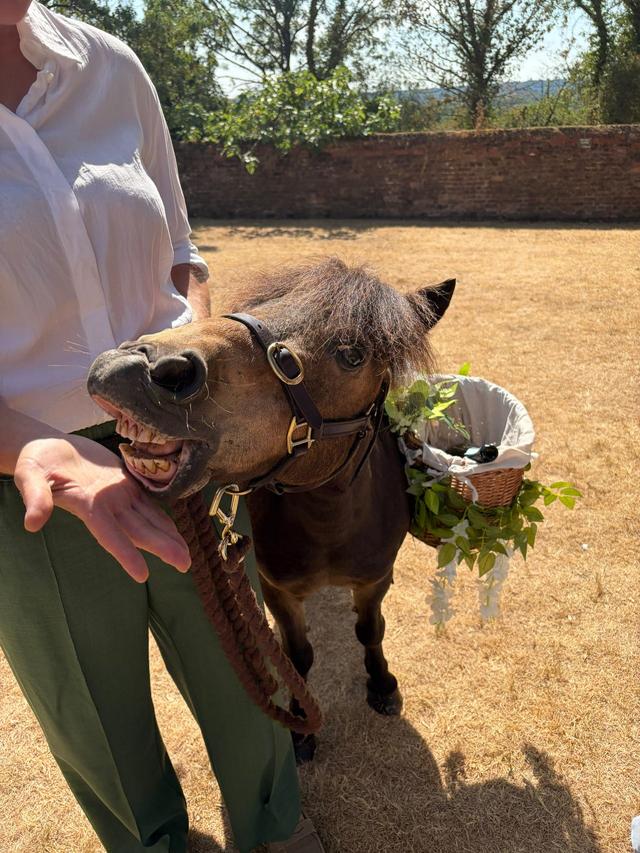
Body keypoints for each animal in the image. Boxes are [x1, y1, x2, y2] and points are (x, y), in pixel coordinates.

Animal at [88, 258, 455, 762]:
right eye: (259, 303)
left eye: (352, 354)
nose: (134, 365)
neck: (329, 522)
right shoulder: (278, 589)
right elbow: (295, 655)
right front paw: (302, 727)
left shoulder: (375, 579)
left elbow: (371, 630)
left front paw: (382, 685)